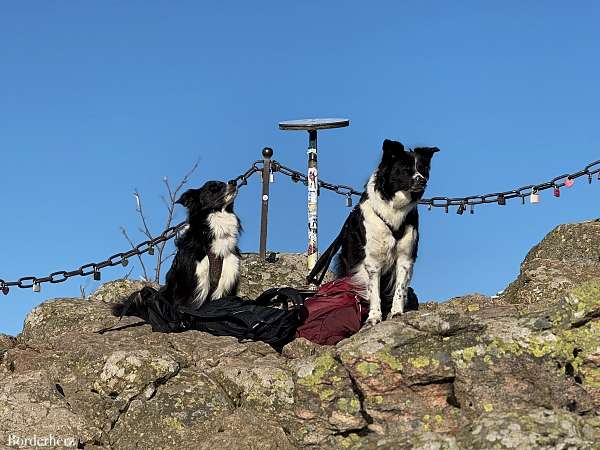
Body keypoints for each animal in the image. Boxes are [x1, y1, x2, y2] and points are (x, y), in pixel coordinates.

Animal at [310, 139, 436, 326]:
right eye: (405, 169)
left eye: (422, 168)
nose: (422, 180)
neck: (393, 209)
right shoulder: (372, 261)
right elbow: (374, 291)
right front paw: (374, 316)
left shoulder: (405, 257)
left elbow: (399, 288)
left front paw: (397, 312)